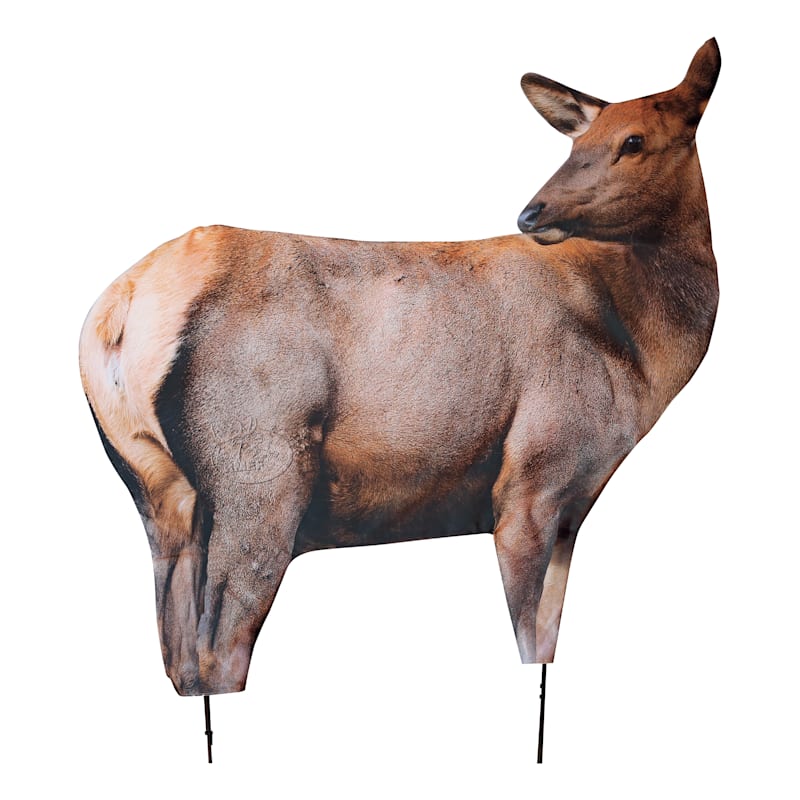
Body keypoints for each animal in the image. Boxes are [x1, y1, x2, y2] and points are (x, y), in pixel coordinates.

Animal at [80, 40, 720, 721]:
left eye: (633, 140)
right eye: (580, 142)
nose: (532, 212)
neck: (642, 357)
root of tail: (119, 309)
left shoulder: (574, 506)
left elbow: (547, 638)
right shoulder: (532, 478)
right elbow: (528, 640)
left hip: (156, 493)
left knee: (178, 656)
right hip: (259, 473)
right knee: (218, 651)